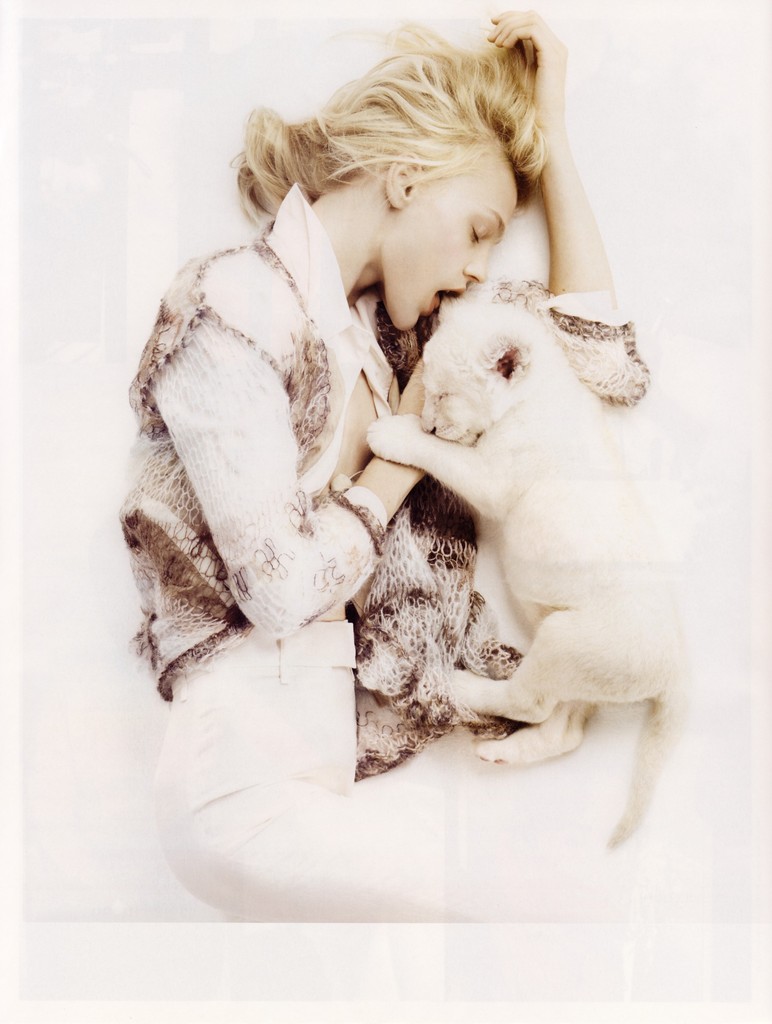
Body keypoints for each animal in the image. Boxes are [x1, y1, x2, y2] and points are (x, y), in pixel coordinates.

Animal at [367, 281, 687, 847]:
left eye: (445, 395)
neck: (534, 394)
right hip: (582, 671)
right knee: (565, 727)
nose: (429, 419)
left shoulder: (491, 477)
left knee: (527, 701)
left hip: (568, 643)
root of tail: (673, 668)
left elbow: (441, 454)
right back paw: (504, 752)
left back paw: (462, 688)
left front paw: (398, 434)